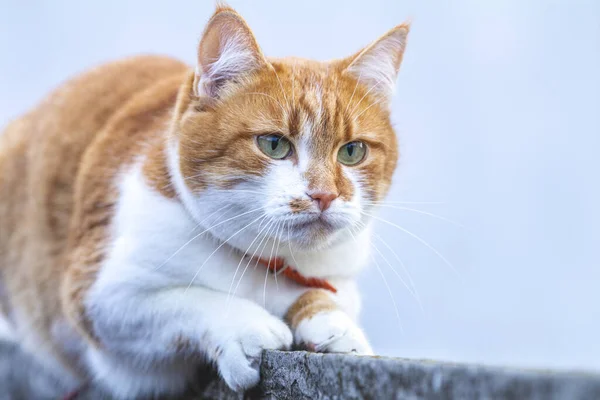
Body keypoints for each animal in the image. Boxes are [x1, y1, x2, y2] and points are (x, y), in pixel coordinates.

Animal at [0, 4, 408, 398]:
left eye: (352, 152)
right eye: (274, 144)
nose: (324, 194)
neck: (261, 263)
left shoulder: (338, 277)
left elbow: (317, 294)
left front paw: (333, 325)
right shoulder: (100, 298)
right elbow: (190, 300)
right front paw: (248, 328)